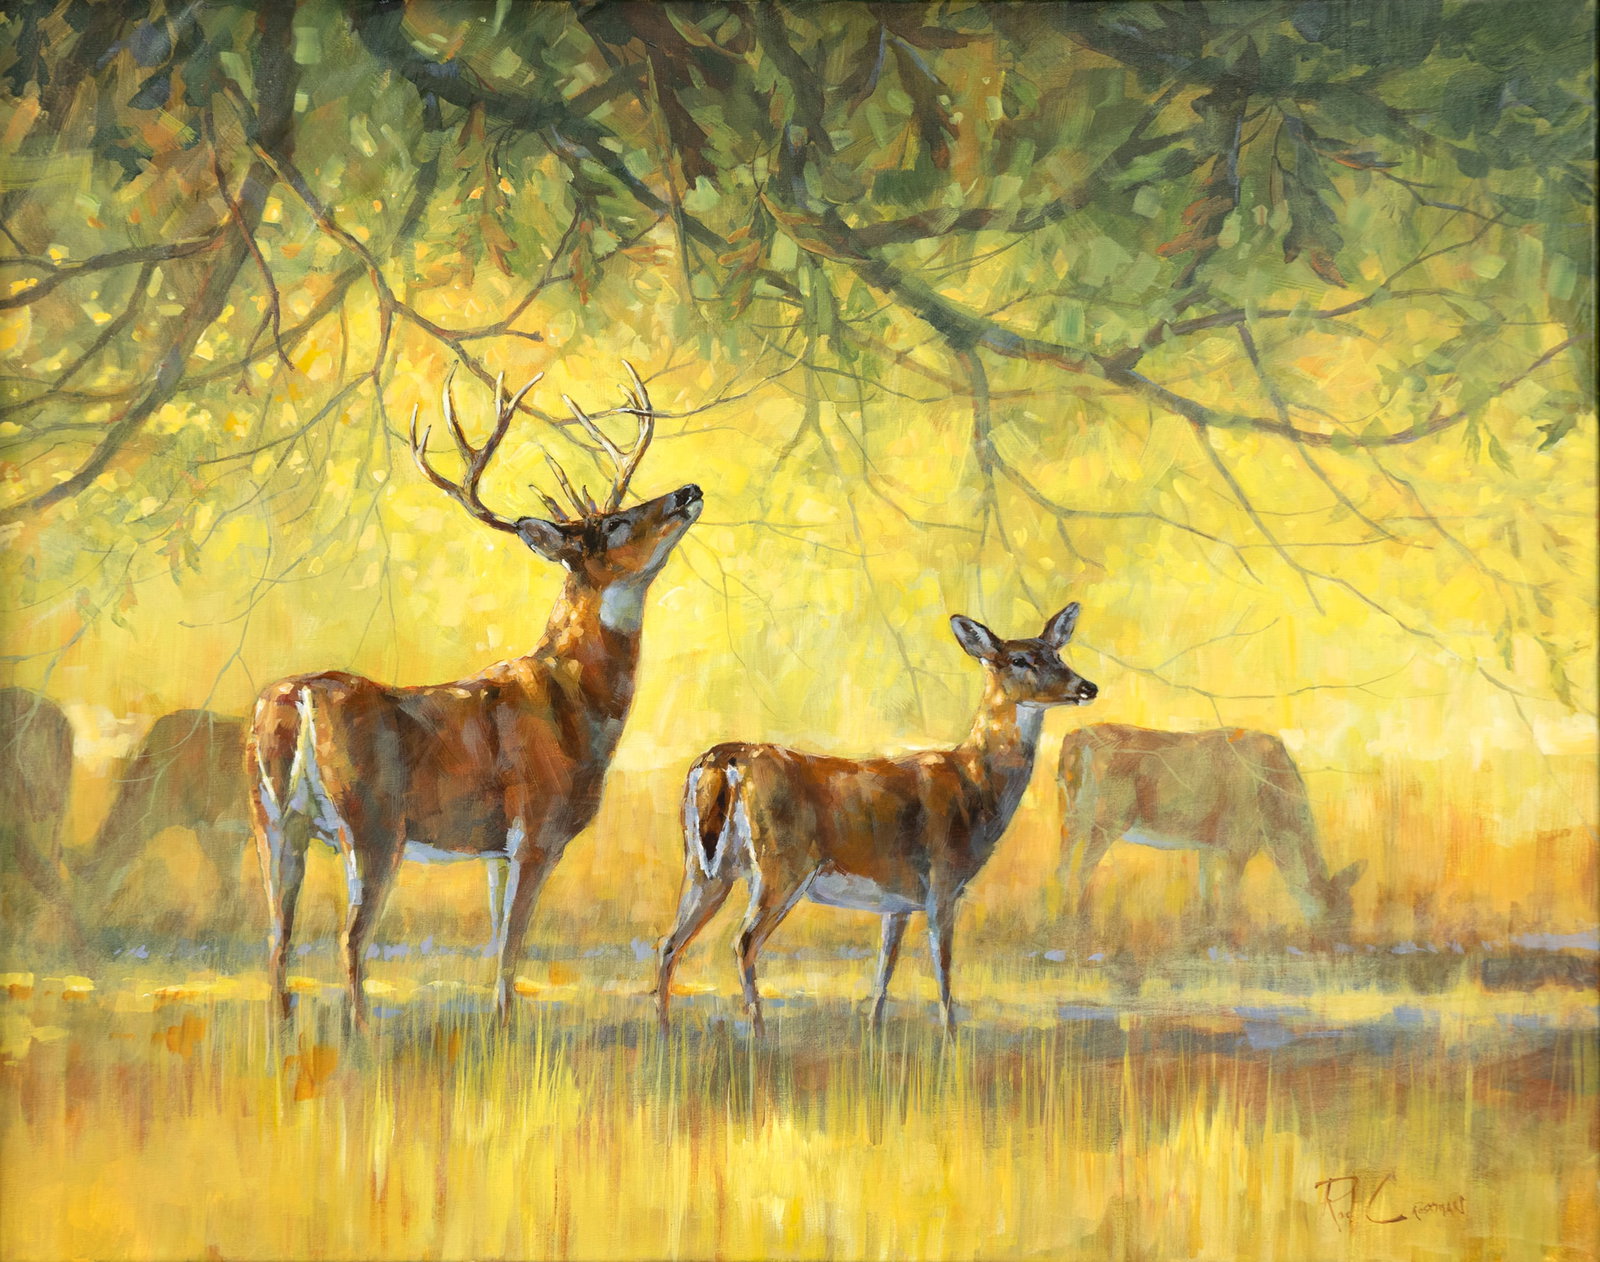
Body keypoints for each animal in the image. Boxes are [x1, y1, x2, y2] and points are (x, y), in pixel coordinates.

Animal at [248, 363, 701, 1027]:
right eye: (613, 525)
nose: (690, 490)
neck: (577, 705)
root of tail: (298, 696)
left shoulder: (494, 851)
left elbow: (496, 942)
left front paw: (496, 1027)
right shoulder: (536, 828)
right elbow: (512, 945)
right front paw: (505, 1029)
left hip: (274, 820)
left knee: (277, 936)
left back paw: (283, 1031)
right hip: (374, 822)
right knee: (350, 939)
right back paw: (361, 1036)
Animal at [655, 603, 1098, 1035]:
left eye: (1058, 653)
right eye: (1020, 659)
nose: (1087, 687)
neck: (976, 784)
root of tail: (723, 758)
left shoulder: (897, 898)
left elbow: (886, 968)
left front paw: (873, 1032)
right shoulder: (944, 880)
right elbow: (943, 968)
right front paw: (950, 1038)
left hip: (703, 866)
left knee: (670, 941)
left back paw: (664, 1031)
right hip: (781, 865)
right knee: (743, 942)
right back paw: (760, 1036)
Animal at [1057, 724, 1365, 947]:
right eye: (1339, 911)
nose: (1344, 949)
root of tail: (1075, 739)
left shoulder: (1208, 843)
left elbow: (1206, 890)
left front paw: (1205, 936)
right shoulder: (1237, 841)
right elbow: (1229, 895)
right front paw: (1229, 940)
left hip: (1073, 814)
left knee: (1063, 862)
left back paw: (1059, 919)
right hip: (1109, 815)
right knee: (1083, 868)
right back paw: (1082, 926)